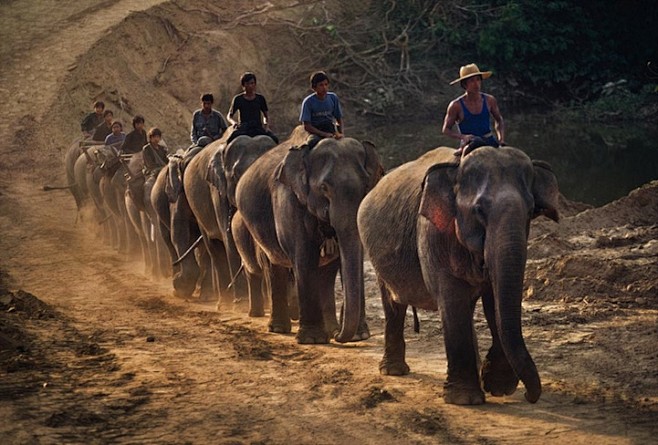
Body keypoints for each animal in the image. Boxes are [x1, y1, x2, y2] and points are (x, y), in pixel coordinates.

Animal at [234, 125, 382, 344]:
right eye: (324, 188)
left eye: (365, 186)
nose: (339, 336)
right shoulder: (289, 200)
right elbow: (304, 257)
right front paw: (313, 339)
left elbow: (343, 258)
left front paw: (358, 336)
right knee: (273, 264)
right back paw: (280, 329)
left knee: (327, 272)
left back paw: (329, 328)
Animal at [356, 144, 556, 404]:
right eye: (479, 210)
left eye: (531, 210)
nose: (529, 397)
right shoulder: (433, 235)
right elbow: (452, 298)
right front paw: (465, 399)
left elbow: (494, 302)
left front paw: (498, 387)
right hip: (375, 254)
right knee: (393, 304)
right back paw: (393, 371)